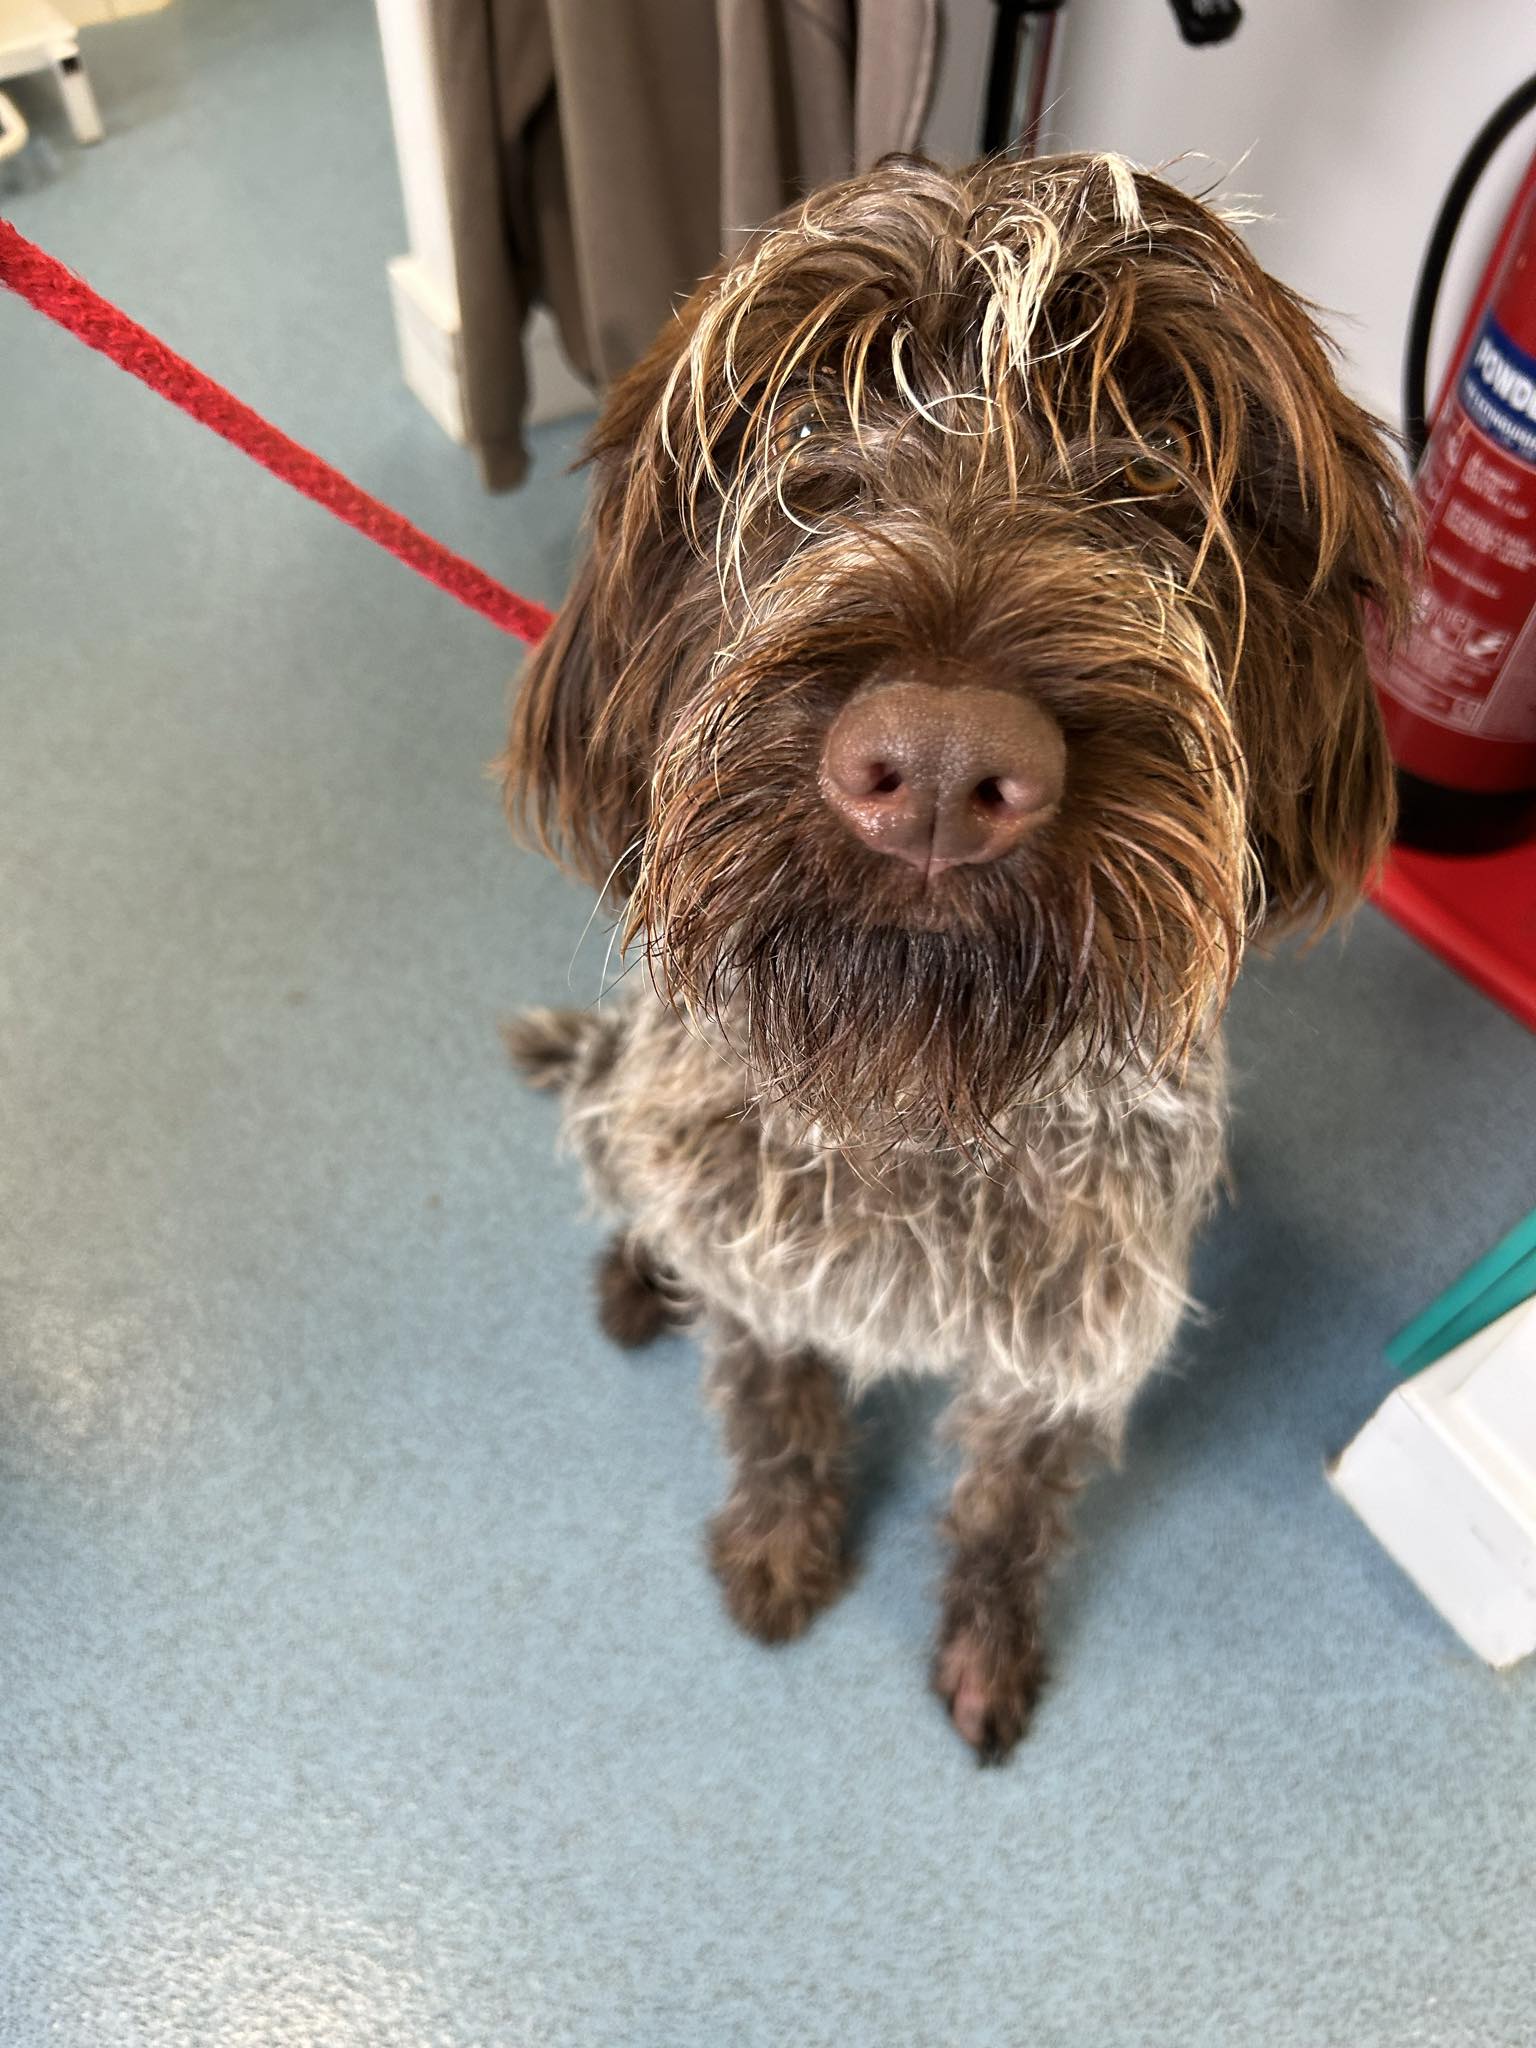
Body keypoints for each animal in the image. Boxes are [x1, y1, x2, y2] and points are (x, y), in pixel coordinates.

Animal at [499, 155, 1417, 1761]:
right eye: (800, 434)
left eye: (1163, 460)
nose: (936, 768)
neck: (925, 1103)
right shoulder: (758, 1275)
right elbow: (777, 1421)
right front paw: (781, 1545)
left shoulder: (1067, 1350)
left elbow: (1005, 1510)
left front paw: (989, 1636)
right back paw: (632, 1275)